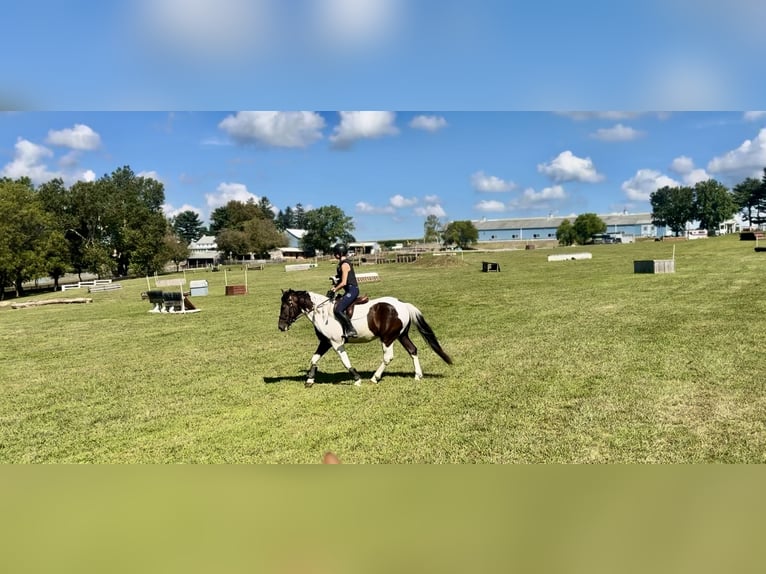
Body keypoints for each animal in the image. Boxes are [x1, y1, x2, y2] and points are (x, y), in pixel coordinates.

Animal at [278, 289, 453, 387]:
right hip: (401, 335)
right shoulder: (325, 342)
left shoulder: (336, 343)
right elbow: (313, 359)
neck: (321, 312)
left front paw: (357, 379)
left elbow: (345, 361)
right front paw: (310, 380)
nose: (281, 326)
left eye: (285, 306)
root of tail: (403, 304)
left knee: (388, 357)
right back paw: (418, 375)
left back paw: (375, 378)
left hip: (387, 338)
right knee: (413, 350)